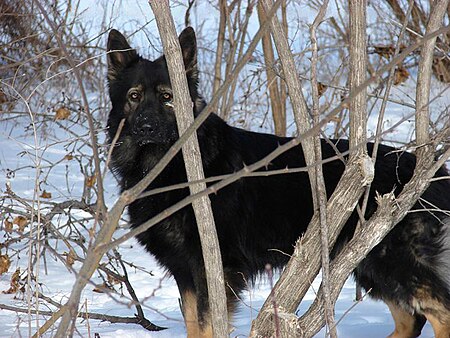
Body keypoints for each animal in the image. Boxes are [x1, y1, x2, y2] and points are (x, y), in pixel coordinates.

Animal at [106, 27, 450, 336]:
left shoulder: (212, 270)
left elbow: (205, 327)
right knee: (410, 320)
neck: (169, 166)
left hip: (387, 259)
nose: (146, 127)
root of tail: (429, 169)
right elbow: (194, 324)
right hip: (367, 264)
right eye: (134, 97)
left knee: (440, 313)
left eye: (167, 97)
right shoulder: (186, 272)